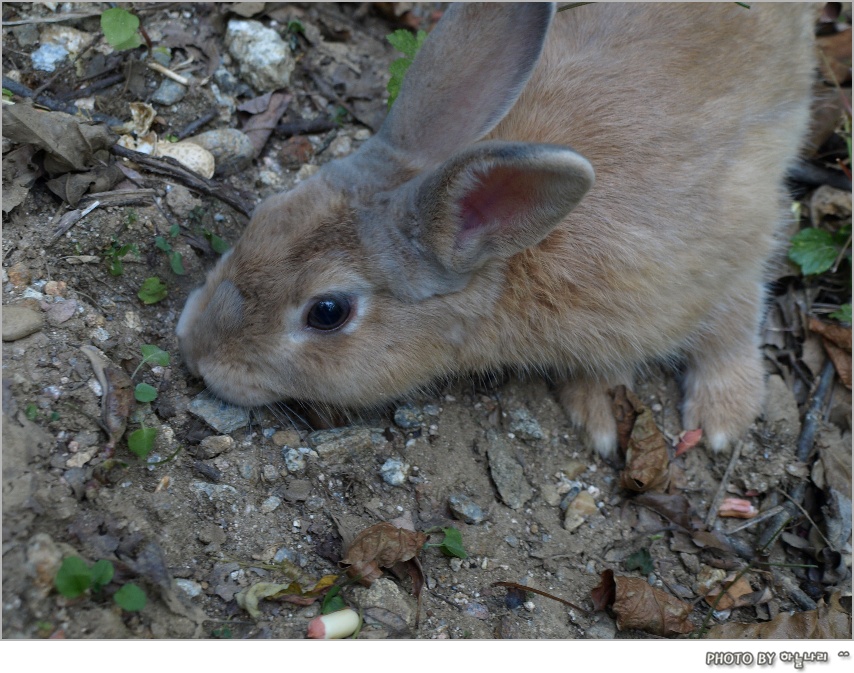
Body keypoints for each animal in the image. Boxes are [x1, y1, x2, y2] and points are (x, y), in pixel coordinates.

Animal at [177, 2, 820, 460]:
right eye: (265, 214)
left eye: (328, 312)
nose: (197, 351)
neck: (511, 262)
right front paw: (597, 409)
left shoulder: (732, 235)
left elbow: (734, 318)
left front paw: (720, 419)